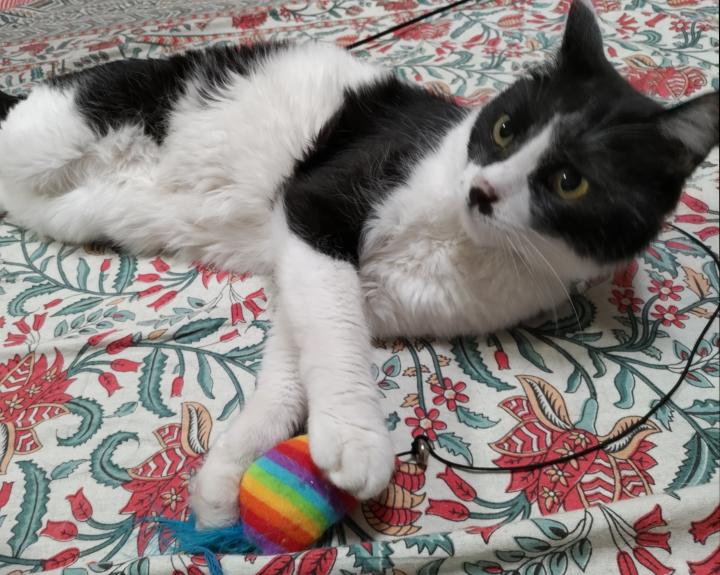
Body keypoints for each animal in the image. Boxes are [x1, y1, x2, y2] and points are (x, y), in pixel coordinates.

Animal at [0, 0, 717, 529]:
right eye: (506, 129)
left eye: (570, 182)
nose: (481, 191)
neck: (465, 243)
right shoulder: (316, 214)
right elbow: (333, 334)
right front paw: (355, 435)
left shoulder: (343, 285)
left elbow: (295, 361)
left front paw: (229, 473)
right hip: (63, 128)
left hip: (66, 206)